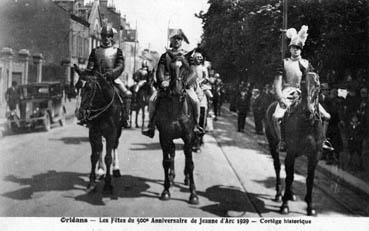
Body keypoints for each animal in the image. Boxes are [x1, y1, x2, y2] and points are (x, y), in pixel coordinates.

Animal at [264, 71, 322, 215]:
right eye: (303, 84)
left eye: (317, 86)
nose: (308, 111)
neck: (308, 124)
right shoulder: (291, 151)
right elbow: (289, 177)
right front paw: (284, 205)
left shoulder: (315, 155)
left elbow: (309, 179)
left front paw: (310, 207)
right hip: (273, 145)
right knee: (278, 166)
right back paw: (279, 194)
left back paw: (290, 193)